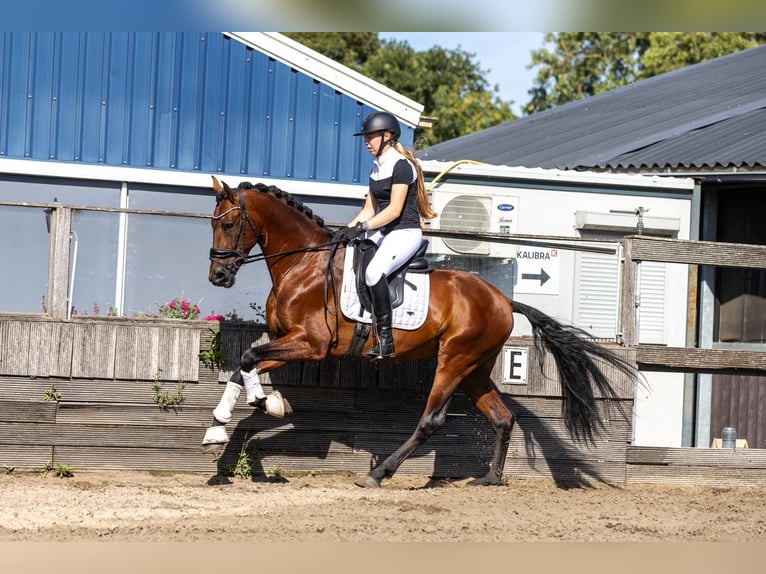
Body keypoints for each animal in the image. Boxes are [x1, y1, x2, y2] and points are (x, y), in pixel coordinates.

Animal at [201, 176, 637, 488]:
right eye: (212, 224)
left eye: (229, 223)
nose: (218, 276)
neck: (303, 264)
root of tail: (501, 299)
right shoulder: (291, 342)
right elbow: (245, 366)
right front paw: (226, 423)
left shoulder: (312, 344)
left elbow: (248, 358)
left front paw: (263, 403)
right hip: (475, 369)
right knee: (502, 418)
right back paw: (490, 478)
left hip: (454, 360)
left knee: (431, 421)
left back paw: (379, 474)